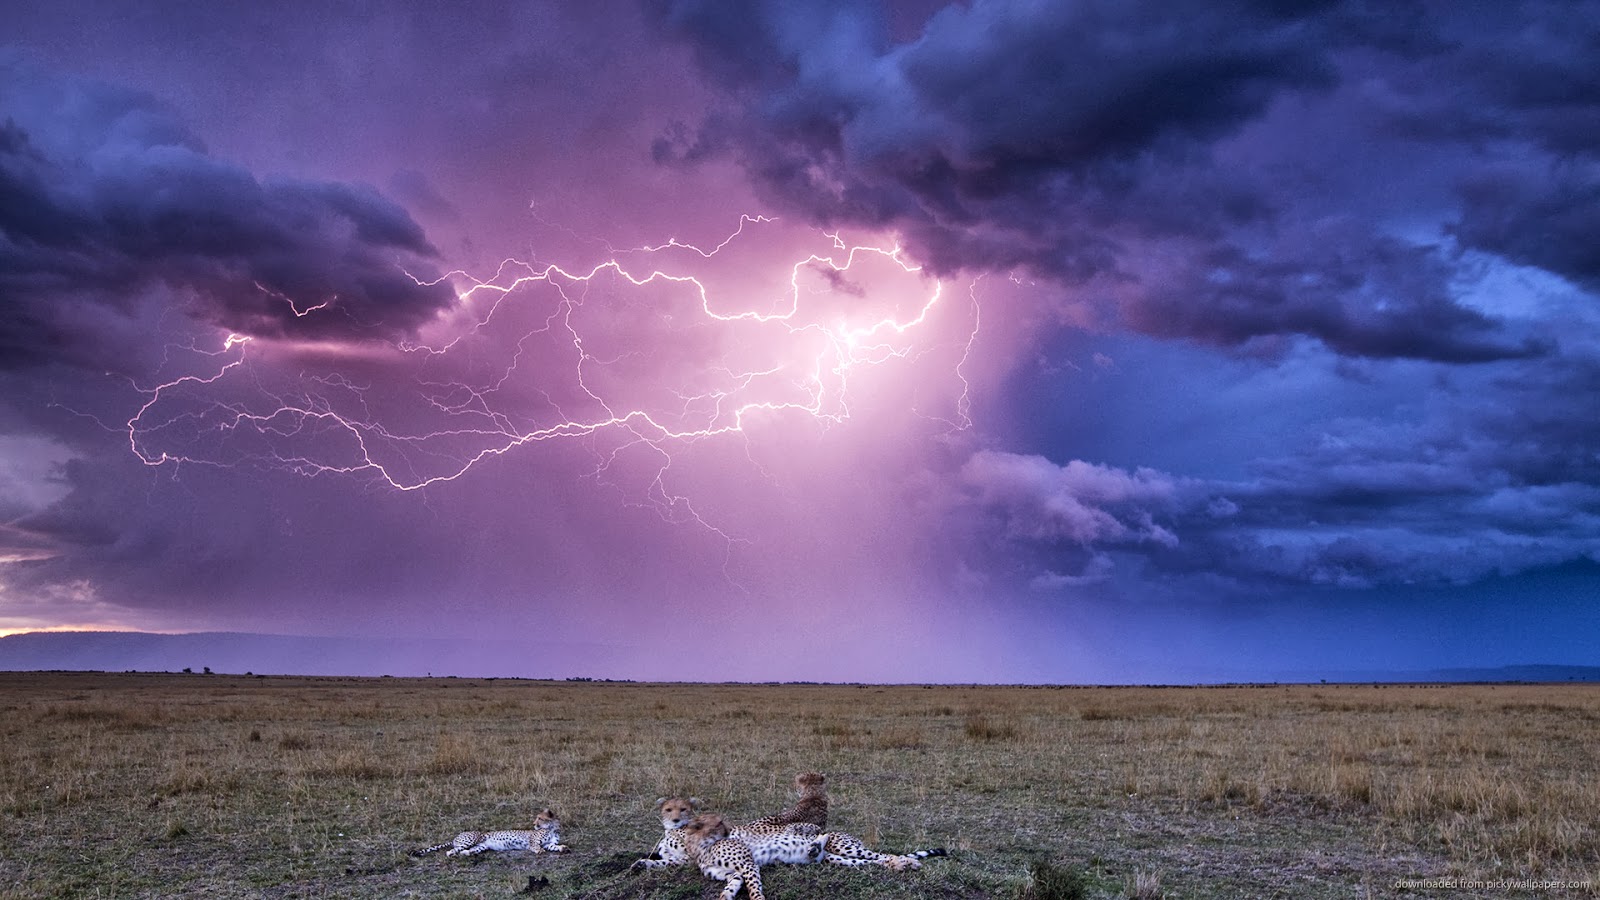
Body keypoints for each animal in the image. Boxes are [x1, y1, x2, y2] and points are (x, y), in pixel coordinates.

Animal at [409, 807, 566, 851]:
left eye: (539, 818)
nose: (534, 823)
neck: (552, 828)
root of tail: (455, 837)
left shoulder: (549, 843)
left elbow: (554, 846)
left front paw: (563, 848)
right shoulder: (533, 841)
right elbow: (536, 847)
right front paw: (539, 851)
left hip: (481, 846)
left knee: (465, 851)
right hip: (472, 839)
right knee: (451, 851)